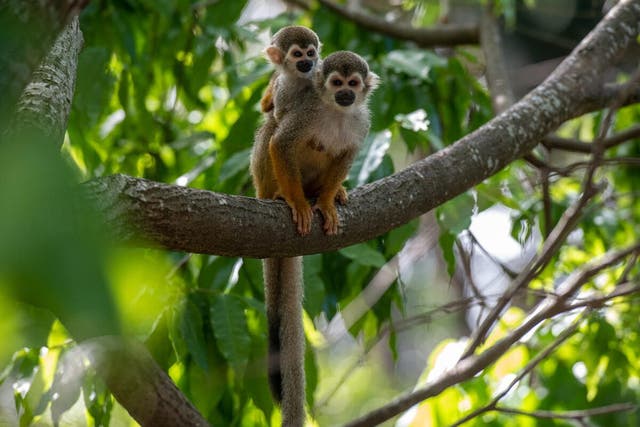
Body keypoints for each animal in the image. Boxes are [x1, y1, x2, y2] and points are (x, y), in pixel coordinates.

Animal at [250, 51, 380, 426]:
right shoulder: (306, 111)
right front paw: (296, 203)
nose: (345, 94)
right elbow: (281, 142)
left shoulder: (361, 123)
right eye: (336, 83)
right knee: (271, 127)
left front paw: (326, 202)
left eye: (353, 84)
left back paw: (330, 194)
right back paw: (283, 196)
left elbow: (347, 153)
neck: (336, 112)